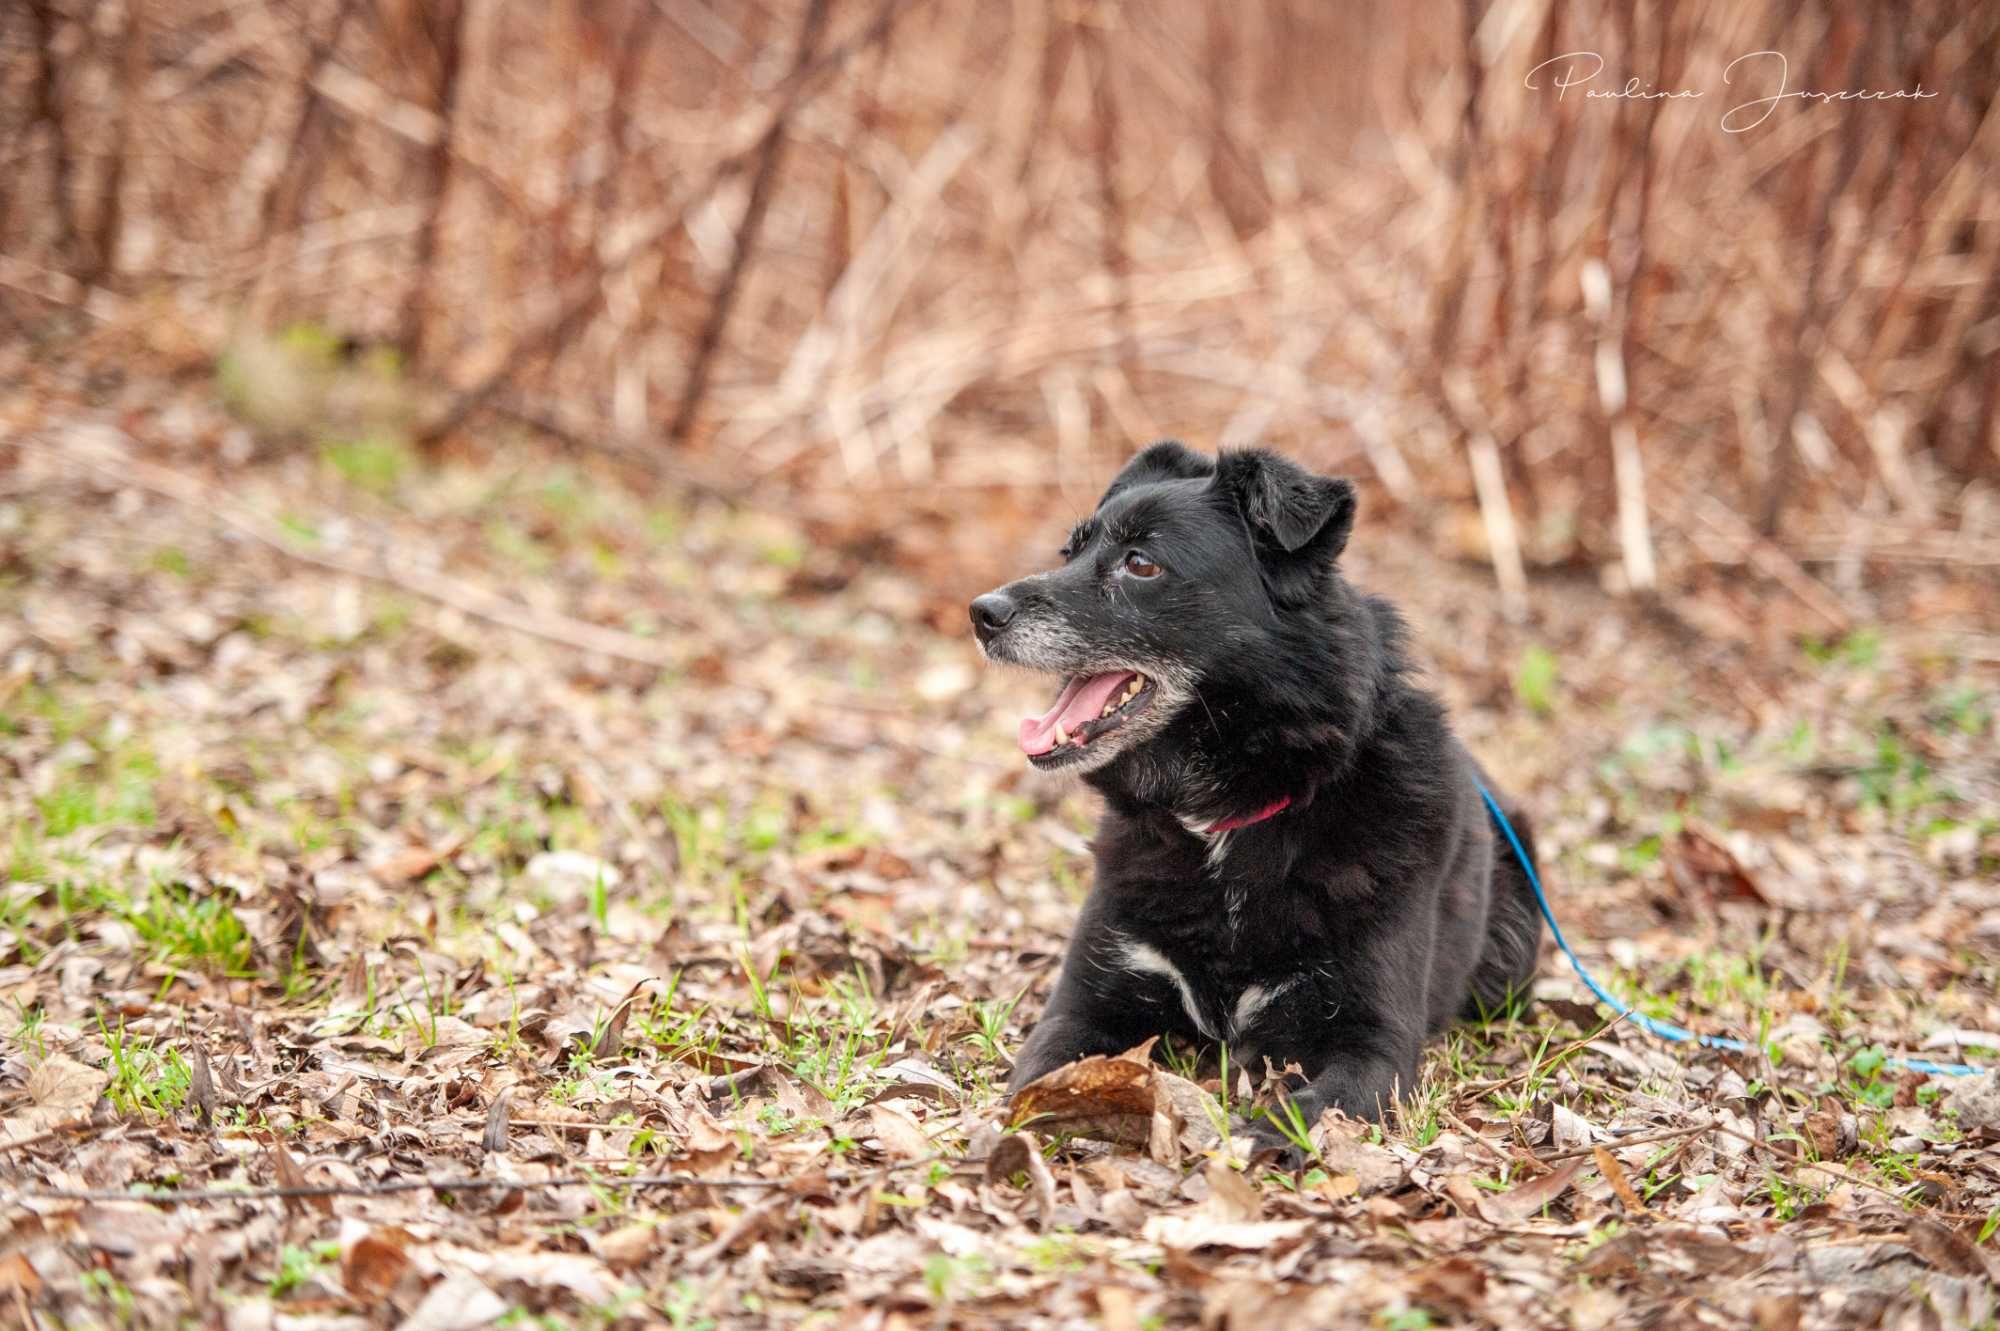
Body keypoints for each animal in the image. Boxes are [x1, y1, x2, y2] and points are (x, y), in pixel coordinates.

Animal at [972, 439, 1544, 1143]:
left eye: (1141, 563)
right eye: (1069, 551)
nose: (981, 613)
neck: (1223, 818)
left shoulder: (1370, 1041)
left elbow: (1308, 1110)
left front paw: (1253, 1142)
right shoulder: (1087, 1001)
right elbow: (1042, 1072)